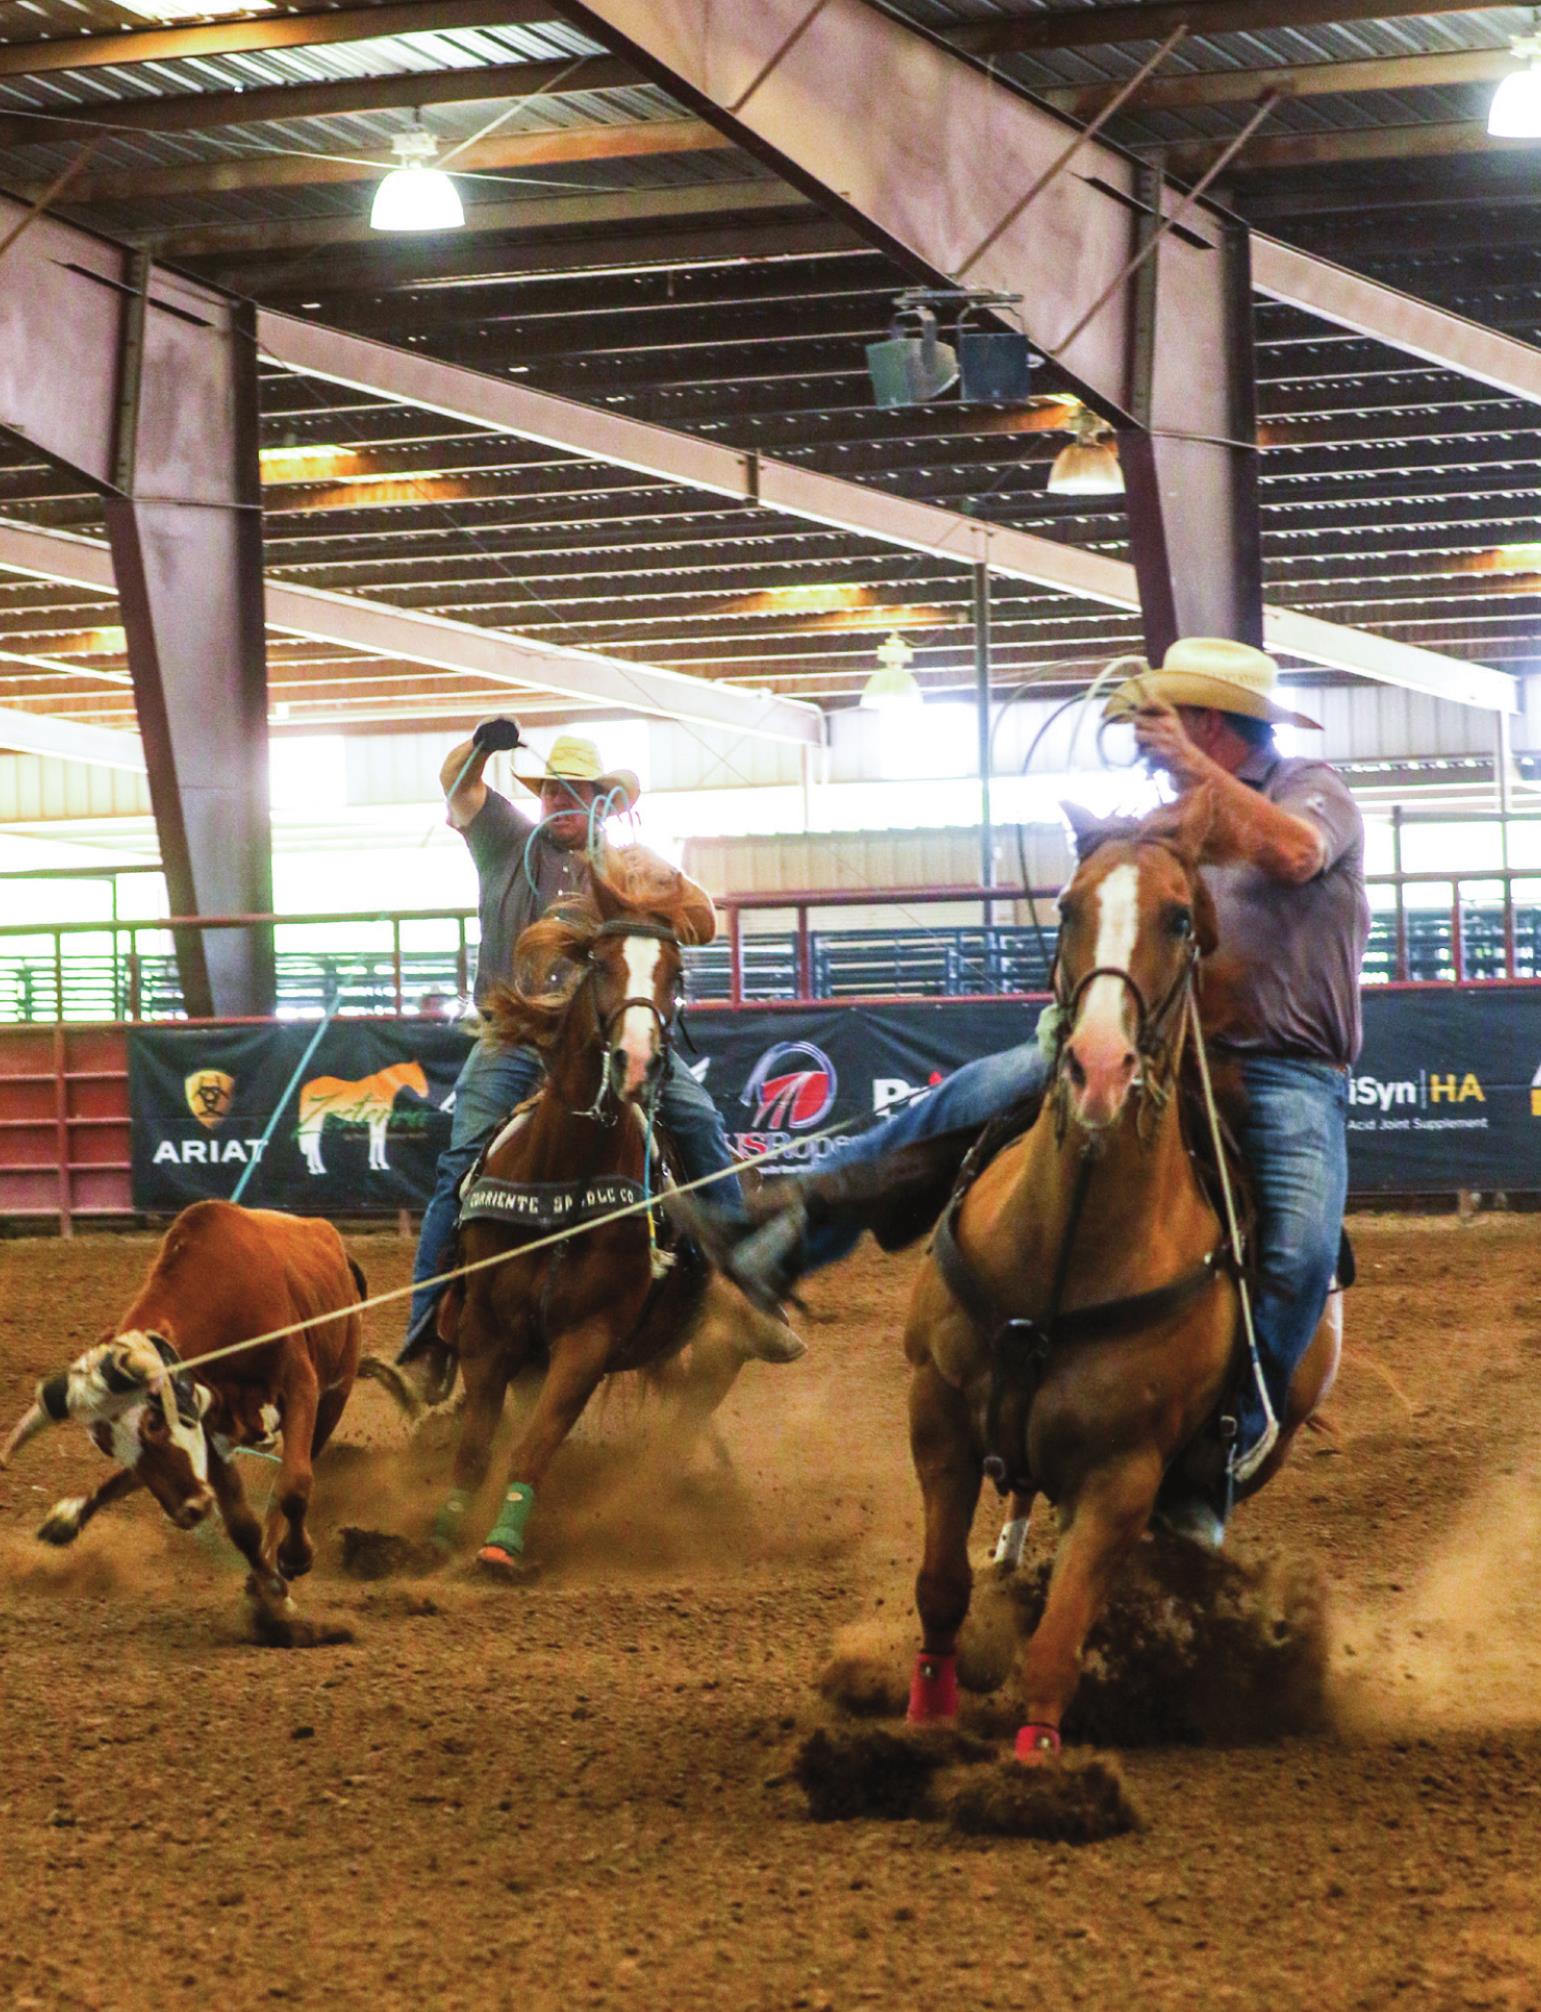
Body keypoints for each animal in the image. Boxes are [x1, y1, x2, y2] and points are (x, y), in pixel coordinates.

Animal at [0, 1199, 366, 1609]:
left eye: (154, 1423)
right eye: (109, 1448)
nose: (188, 1512)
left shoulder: (301, 1386)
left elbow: (293, 1486)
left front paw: (292, 1559)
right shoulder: (208, 1424)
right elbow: (241, 1523)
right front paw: (269, 1584)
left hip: (335, 1394)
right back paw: (65, 1520)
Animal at [430, 849, 796, 1569]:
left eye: (676, 974)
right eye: (599, 963)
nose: (636, 1062)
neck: (562, 1184)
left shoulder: (589, 1338)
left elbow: (537, 1441)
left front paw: (502, 1543)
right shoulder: (488, 1331)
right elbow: (476, 1446)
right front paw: (441, 1530)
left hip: (715, 1348)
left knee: (682, 1426)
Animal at [905, 788, 1335, 1762]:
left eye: (1178, 918)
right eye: (1066, 908)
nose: (1098, 1067)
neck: (1062, 1254)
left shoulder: (1120, 1477)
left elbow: (1059, 1638)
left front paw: (1034, 1759)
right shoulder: (936, 1414)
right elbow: (938, 1589)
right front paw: (920, 1718)